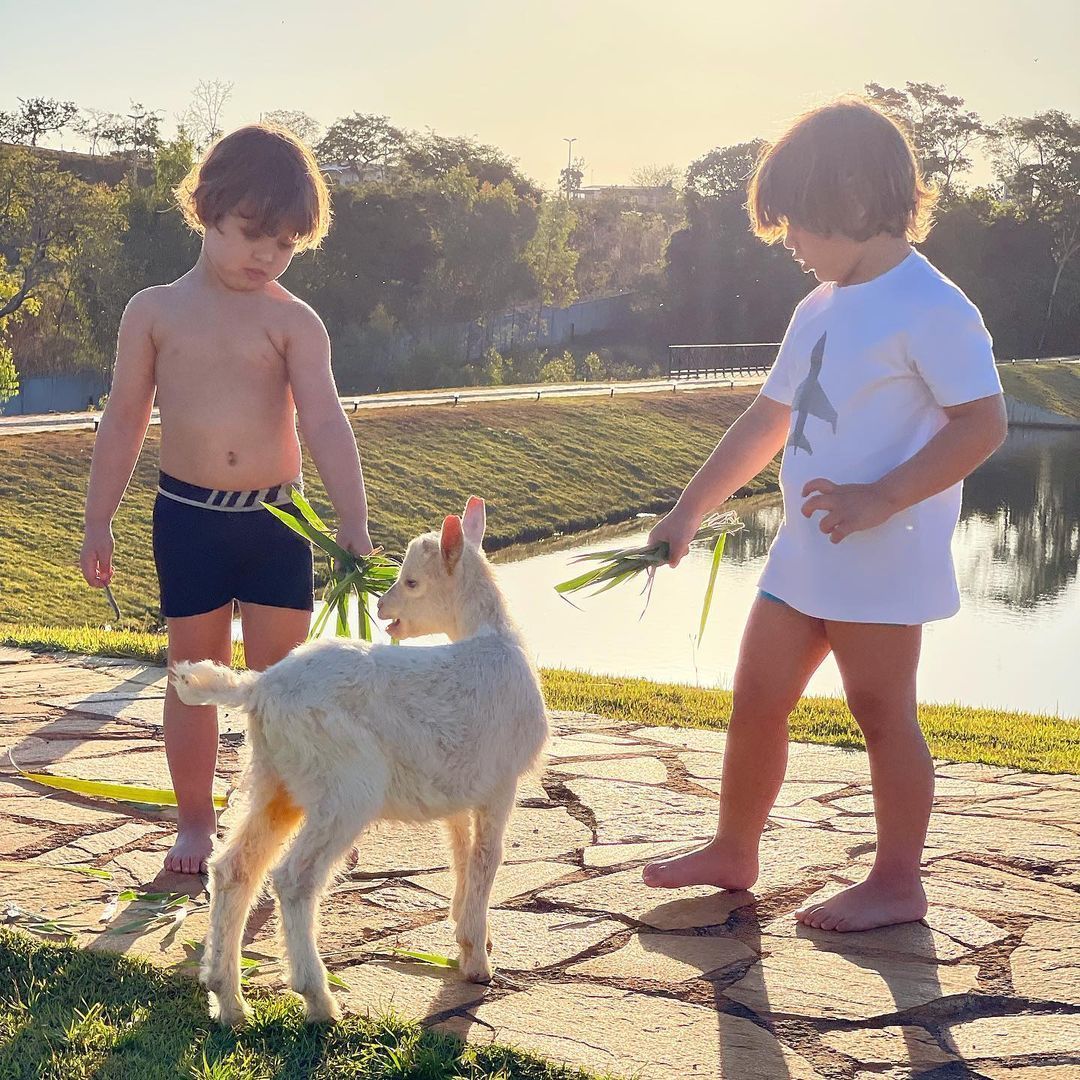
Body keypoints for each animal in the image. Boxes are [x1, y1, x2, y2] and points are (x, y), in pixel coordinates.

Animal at [174, 496, 548, 1019]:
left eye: (411, 582)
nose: (382, 606)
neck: (494, 638)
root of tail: (260, 687)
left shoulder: (461, 791)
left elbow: (462, 859)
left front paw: (469, 939)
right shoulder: (500, 782)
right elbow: (487, 859)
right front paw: (477, 964)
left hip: (277, 780)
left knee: (233, 870)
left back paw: (229, 1002)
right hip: (346, 787)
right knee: (293, 878)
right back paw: (318, 999)